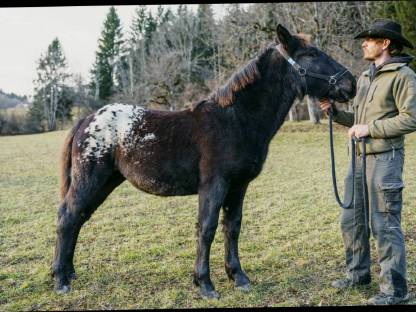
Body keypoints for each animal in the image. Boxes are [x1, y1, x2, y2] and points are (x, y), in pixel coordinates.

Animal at [51, 24, 358, 298]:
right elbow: (207, 228)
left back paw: (69, 273)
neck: (235, 119)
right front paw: (205, 284)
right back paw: (60, 280)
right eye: (311, 54)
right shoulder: (214, 184)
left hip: (106, 182)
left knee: (78, 218)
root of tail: (86, 119)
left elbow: (232, 227)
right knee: (68, 217)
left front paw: (239, 277)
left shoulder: (238, 186)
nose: (351, 83)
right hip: (91, 180)